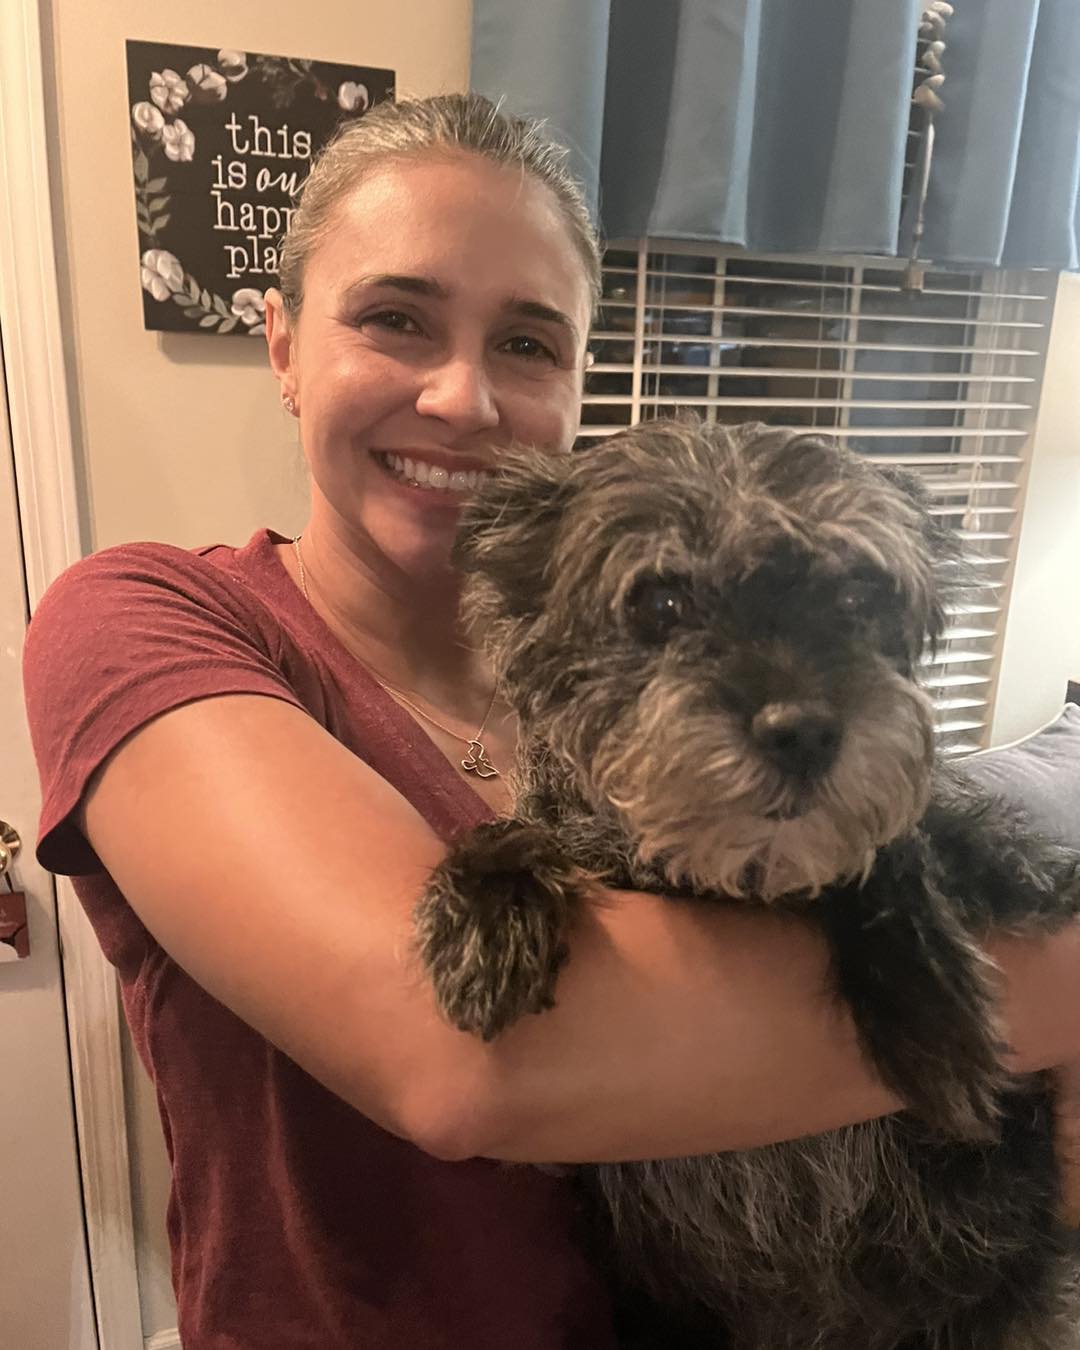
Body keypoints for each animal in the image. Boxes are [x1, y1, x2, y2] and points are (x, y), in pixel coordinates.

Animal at [413, 415, 1080, 1344]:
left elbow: (899, 853)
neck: (711, 880)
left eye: (857, 597)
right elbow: (517, 831)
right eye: (661, 601)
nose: (803, 731)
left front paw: (927, 1002)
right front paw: (490, 902)